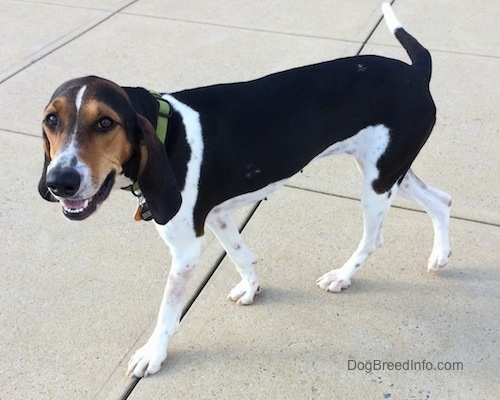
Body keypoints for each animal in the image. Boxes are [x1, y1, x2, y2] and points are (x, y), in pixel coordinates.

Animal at [37, 3, 452, 378]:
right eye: (51, 120)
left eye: (105, 123)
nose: (60, 181)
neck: (166, 129)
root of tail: (416, 72)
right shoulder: (218, 215)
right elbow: (241, 255)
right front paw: (251, 289)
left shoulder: (186, 249)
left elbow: (168, 310)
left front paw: (153, 355)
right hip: (392, 170)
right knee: (442, 200)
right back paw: (440, 255)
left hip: (379, 180)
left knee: (374, 238)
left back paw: (342, 275)